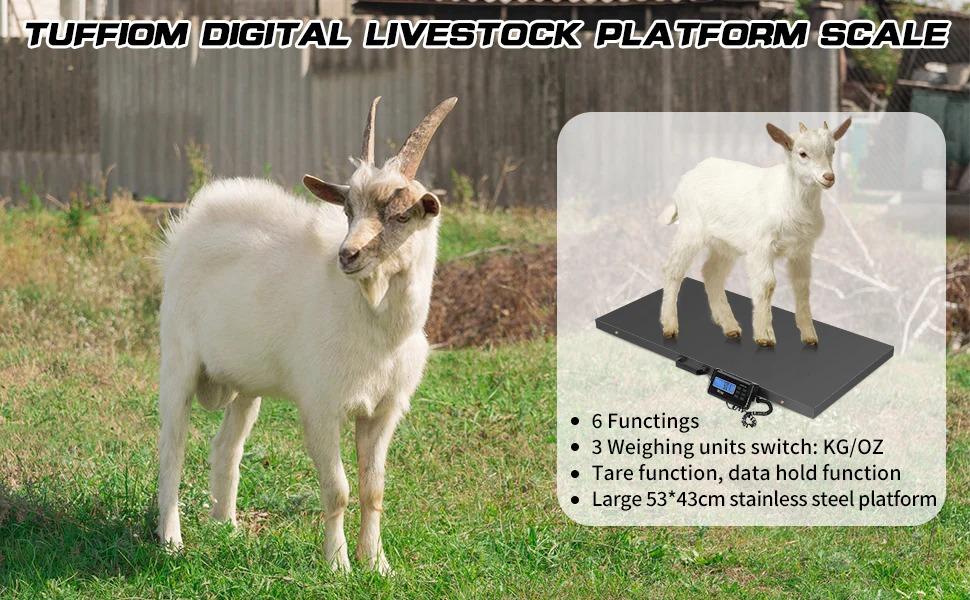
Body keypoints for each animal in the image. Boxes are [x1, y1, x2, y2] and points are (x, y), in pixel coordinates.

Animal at [155, 96, 457, 575]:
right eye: (348, 210)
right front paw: (338, 565)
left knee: (226, 447)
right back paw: (171, 541)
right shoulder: (321, 407)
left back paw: (227, 527)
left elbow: (373, 489)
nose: (348, 255)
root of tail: (193, 220)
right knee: (173, 448)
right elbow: (338, 490)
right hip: (178, 362)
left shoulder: (384, 411)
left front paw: (378, 564)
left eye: (402, 214)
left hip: (246, 385)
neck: (377, 332)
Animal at [658, 118, 851, 347]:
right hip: (690, 228)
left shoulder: (802, 250)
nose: (828, 177)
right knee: (673, 270)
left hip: (725, 243)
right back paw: (670, 326)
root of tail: (685, 179)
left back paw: (730, 327)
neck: (788, 197)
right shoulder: (761, 246)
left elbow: (802, 286)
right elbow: (767, 284)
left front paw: (809, 336)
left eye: (832, 150)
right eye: (802, 153)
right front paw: (764, 336)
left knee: (711, 272)